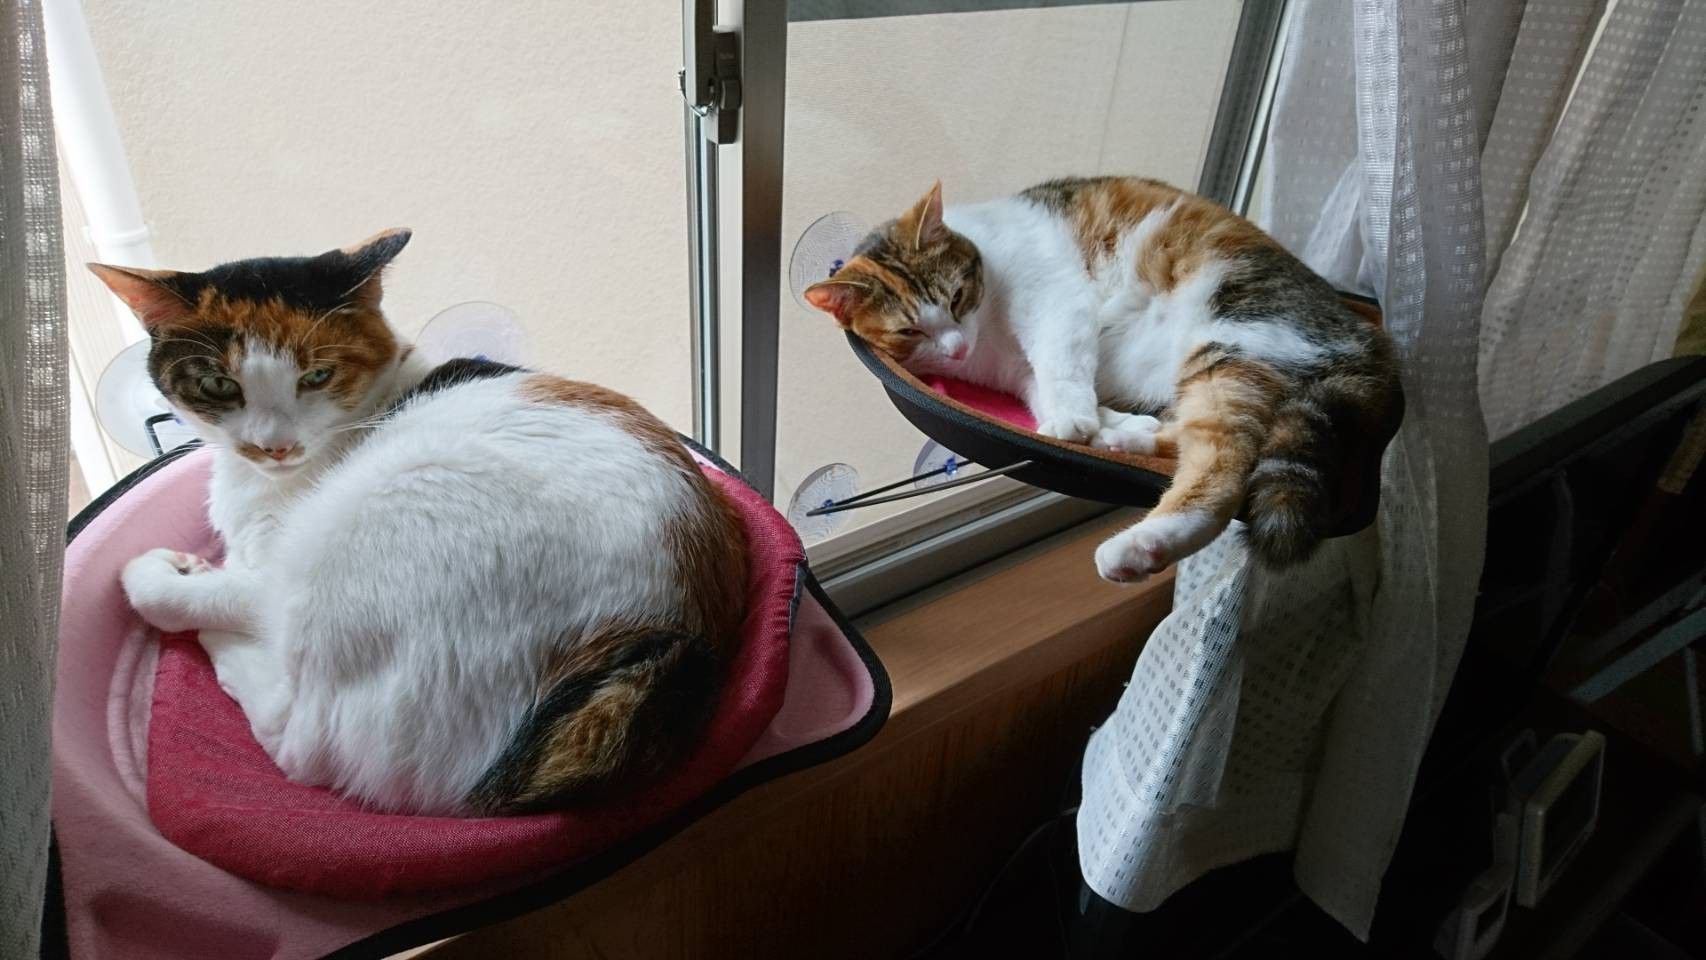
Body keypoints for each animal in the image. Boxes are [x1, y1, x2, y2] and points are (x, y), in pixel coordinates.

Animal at [92, 229, 748, 816]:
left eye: (317, 376)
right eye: (217, 384)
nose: (272, 446)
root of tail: (664, 640)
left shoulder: (273, 569)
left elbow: (190, 591)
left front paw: (178, 575)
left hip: (376, 526)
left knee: (299, 737)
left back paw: (221, 641)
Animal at [805, 177, 1401, 581]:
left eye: (955, 297)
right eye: (910, 331)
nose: (955, 347)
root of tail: (1369, 343)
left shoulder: (1053, 299)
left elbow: (1061, 360)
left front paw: (1075, 422)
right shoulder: (1011, 370)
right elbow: (1047, 386)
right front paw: (1094, 421)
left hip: (1234, 337)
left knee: (1223, 469)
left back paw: (1139, 547)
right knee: (1191, 438)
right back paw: (1125, 438)